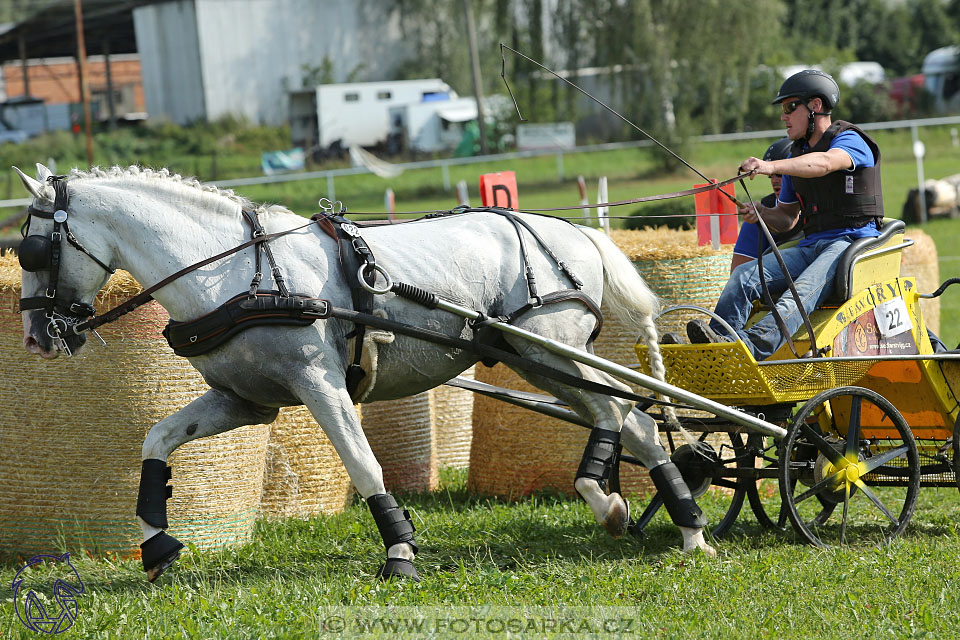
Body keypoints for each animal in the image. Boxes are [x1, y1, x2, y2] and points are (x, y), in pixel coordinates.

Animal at [15, 164, 712, 580]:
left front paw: (399, 551)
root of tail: (571, 232)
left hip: (551, 351)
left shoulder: (318, 383)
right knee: (632, 420)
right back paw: (679, 528)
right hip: (543, 363)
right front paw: (157, 545)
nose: (34, 339)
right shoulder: (244, 401)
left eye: (34, 250)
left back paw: (617, 499)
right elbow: (156, 441)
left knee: (620, 411)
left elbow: (363, 463)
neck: (232, 271)